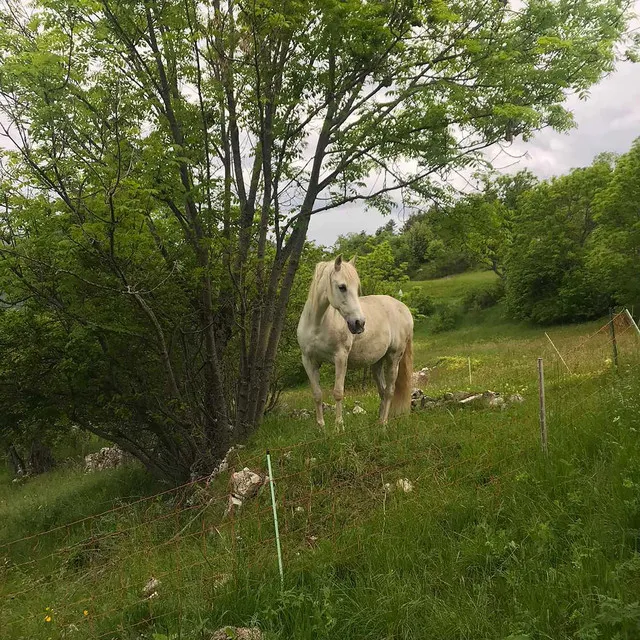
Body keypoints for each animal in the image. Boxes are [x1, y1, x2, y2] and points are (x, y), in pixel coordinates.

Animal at [296, 255, 416, 430]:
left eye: (356, 287)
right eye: (342, 287)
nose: (359, 323)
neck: (318, 325)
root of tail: (403, 308)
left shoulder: (340, 358)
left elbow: (338, 392)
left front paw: (339, 427)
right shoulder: (309, 360)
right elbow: (317, 394)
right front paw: (321, 428)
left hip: (394, 358)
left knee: (389, 391)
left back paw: (383, 424)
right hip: (377, 363)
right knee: (382, 391)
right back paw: (378, 423)